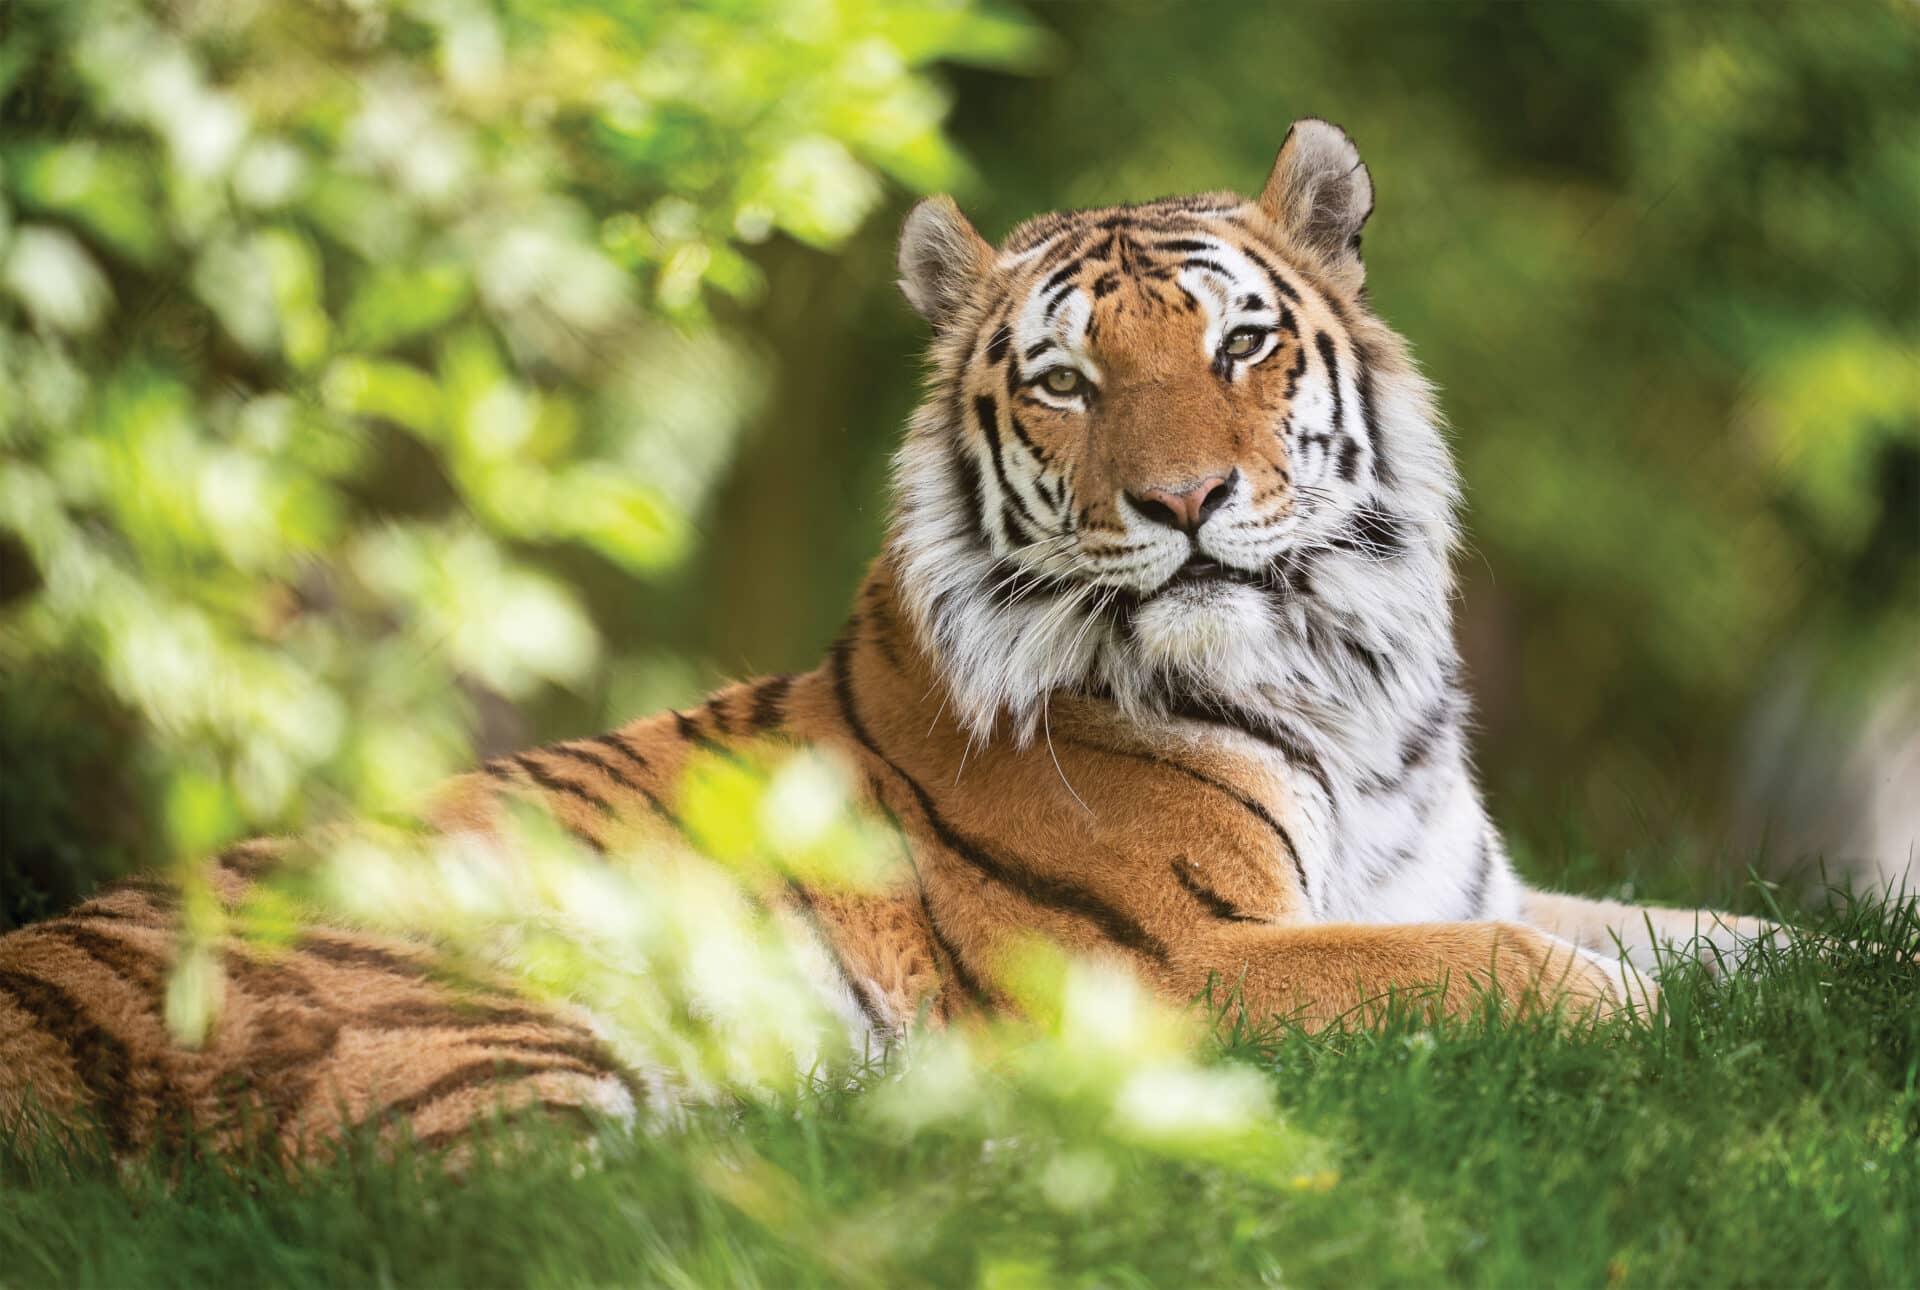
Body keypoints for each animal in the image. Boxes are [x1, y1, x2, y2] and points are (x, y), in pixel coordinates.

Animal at [0, 120, 1774, 1159]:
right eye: (1065, 379)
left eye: (1241, 345)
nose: (1187, 499)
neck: (1343, 682)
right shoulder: (1172, 959)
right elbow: (1520, 971)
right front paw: (1661, 1033)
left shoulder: (1465, 877)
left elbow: (1715, 930)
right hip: (473, 998)